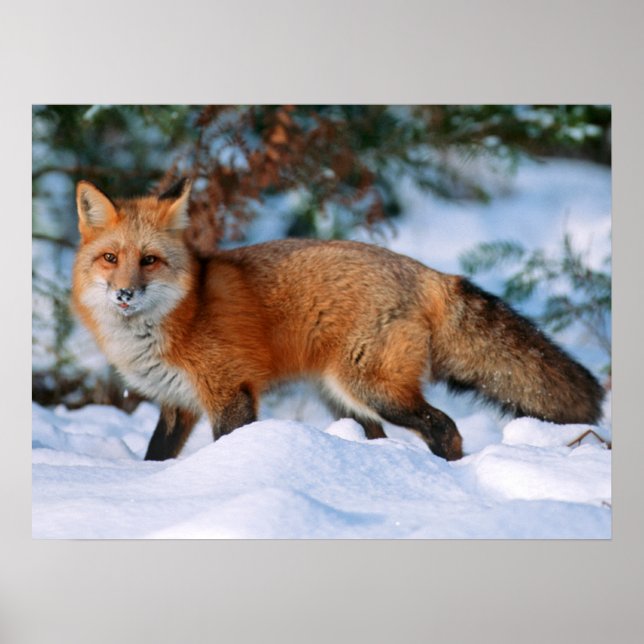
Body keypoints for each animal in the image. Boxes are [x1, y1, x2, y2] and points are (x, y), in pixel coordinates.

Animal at [71, 178, 605, 462]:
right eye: (111, 258)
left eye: (150, 261)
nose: (124, 293)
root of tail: (427, 271)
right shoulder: (177, 405)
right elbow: (154, 456)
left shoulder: (229, 393)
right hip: (342, 397)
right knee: (383, 436)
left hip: (372, 388)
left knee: (445, 427)